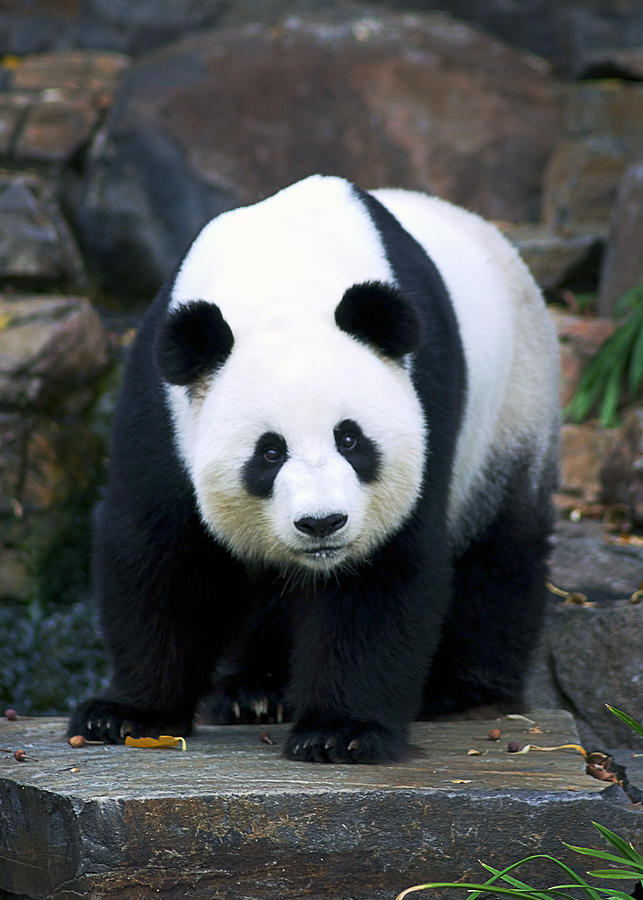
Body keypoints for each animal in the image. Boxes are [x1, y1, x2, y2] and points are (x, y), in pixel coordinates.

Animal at [69, 174, 560, 760]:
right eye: (269, 452)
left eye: (350, 438)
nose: (322, 523)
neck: (285, 278)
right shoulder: (162, 405)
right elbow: (163, 555)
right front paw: (125, 714)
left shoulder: (425, 398)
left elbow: (383, 570)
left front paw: (340, 731)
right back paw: (256, 692)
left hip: (513, 408)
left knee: (501, 555)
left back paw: (461, 691)